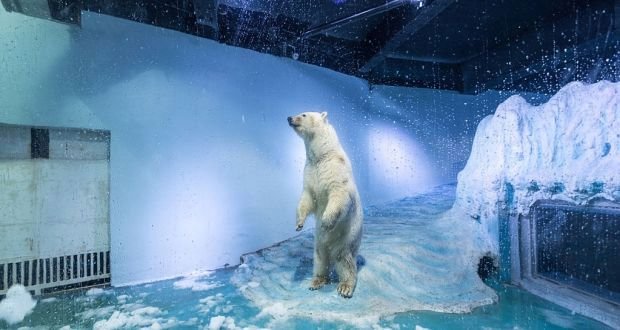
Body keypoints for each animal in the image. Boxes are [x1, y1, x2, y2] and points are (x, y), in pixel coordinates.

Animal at [286, 111, 364, 300]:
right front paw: (299, 224)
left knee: (345, 261)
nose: (289, 118)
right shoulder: (310, 172)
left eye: (303, 114)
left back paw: (345, 287)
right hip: (319, 243)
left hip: (346, 239)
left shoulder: (336, 171)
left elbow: (338, 196)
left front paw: (326, 222)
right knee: (320, 259)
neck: (323, 155)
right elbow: (307, 198)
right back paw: (317, 281)